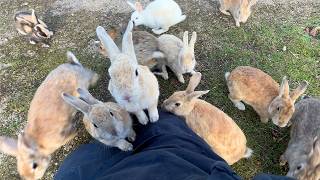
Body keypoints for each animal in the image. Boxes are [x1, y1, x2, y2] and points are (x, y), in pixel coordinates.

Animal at [0, 51, 99, 179]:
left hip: (82, 83)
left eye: (34, 165)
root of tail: (72, 66)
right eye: (21, 173)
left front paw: (74, 132)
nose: (33, 178)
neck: (38, 144)